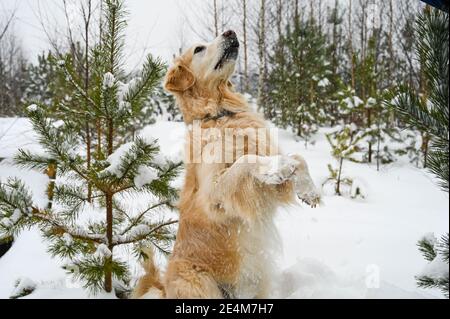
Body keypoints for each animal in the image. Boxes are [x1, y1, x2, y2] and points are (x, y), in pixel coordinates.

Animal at [132, 30, 322, 300]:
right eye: (199, 49)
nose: (230, 32)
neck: (221, 113)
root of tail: (165, 289)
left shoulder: (267, 191)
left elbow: (298, 158)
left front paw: (309, 191)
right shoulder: (214, 195)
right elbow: (246, 161)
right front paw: (274, 168)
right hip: (203, 285)